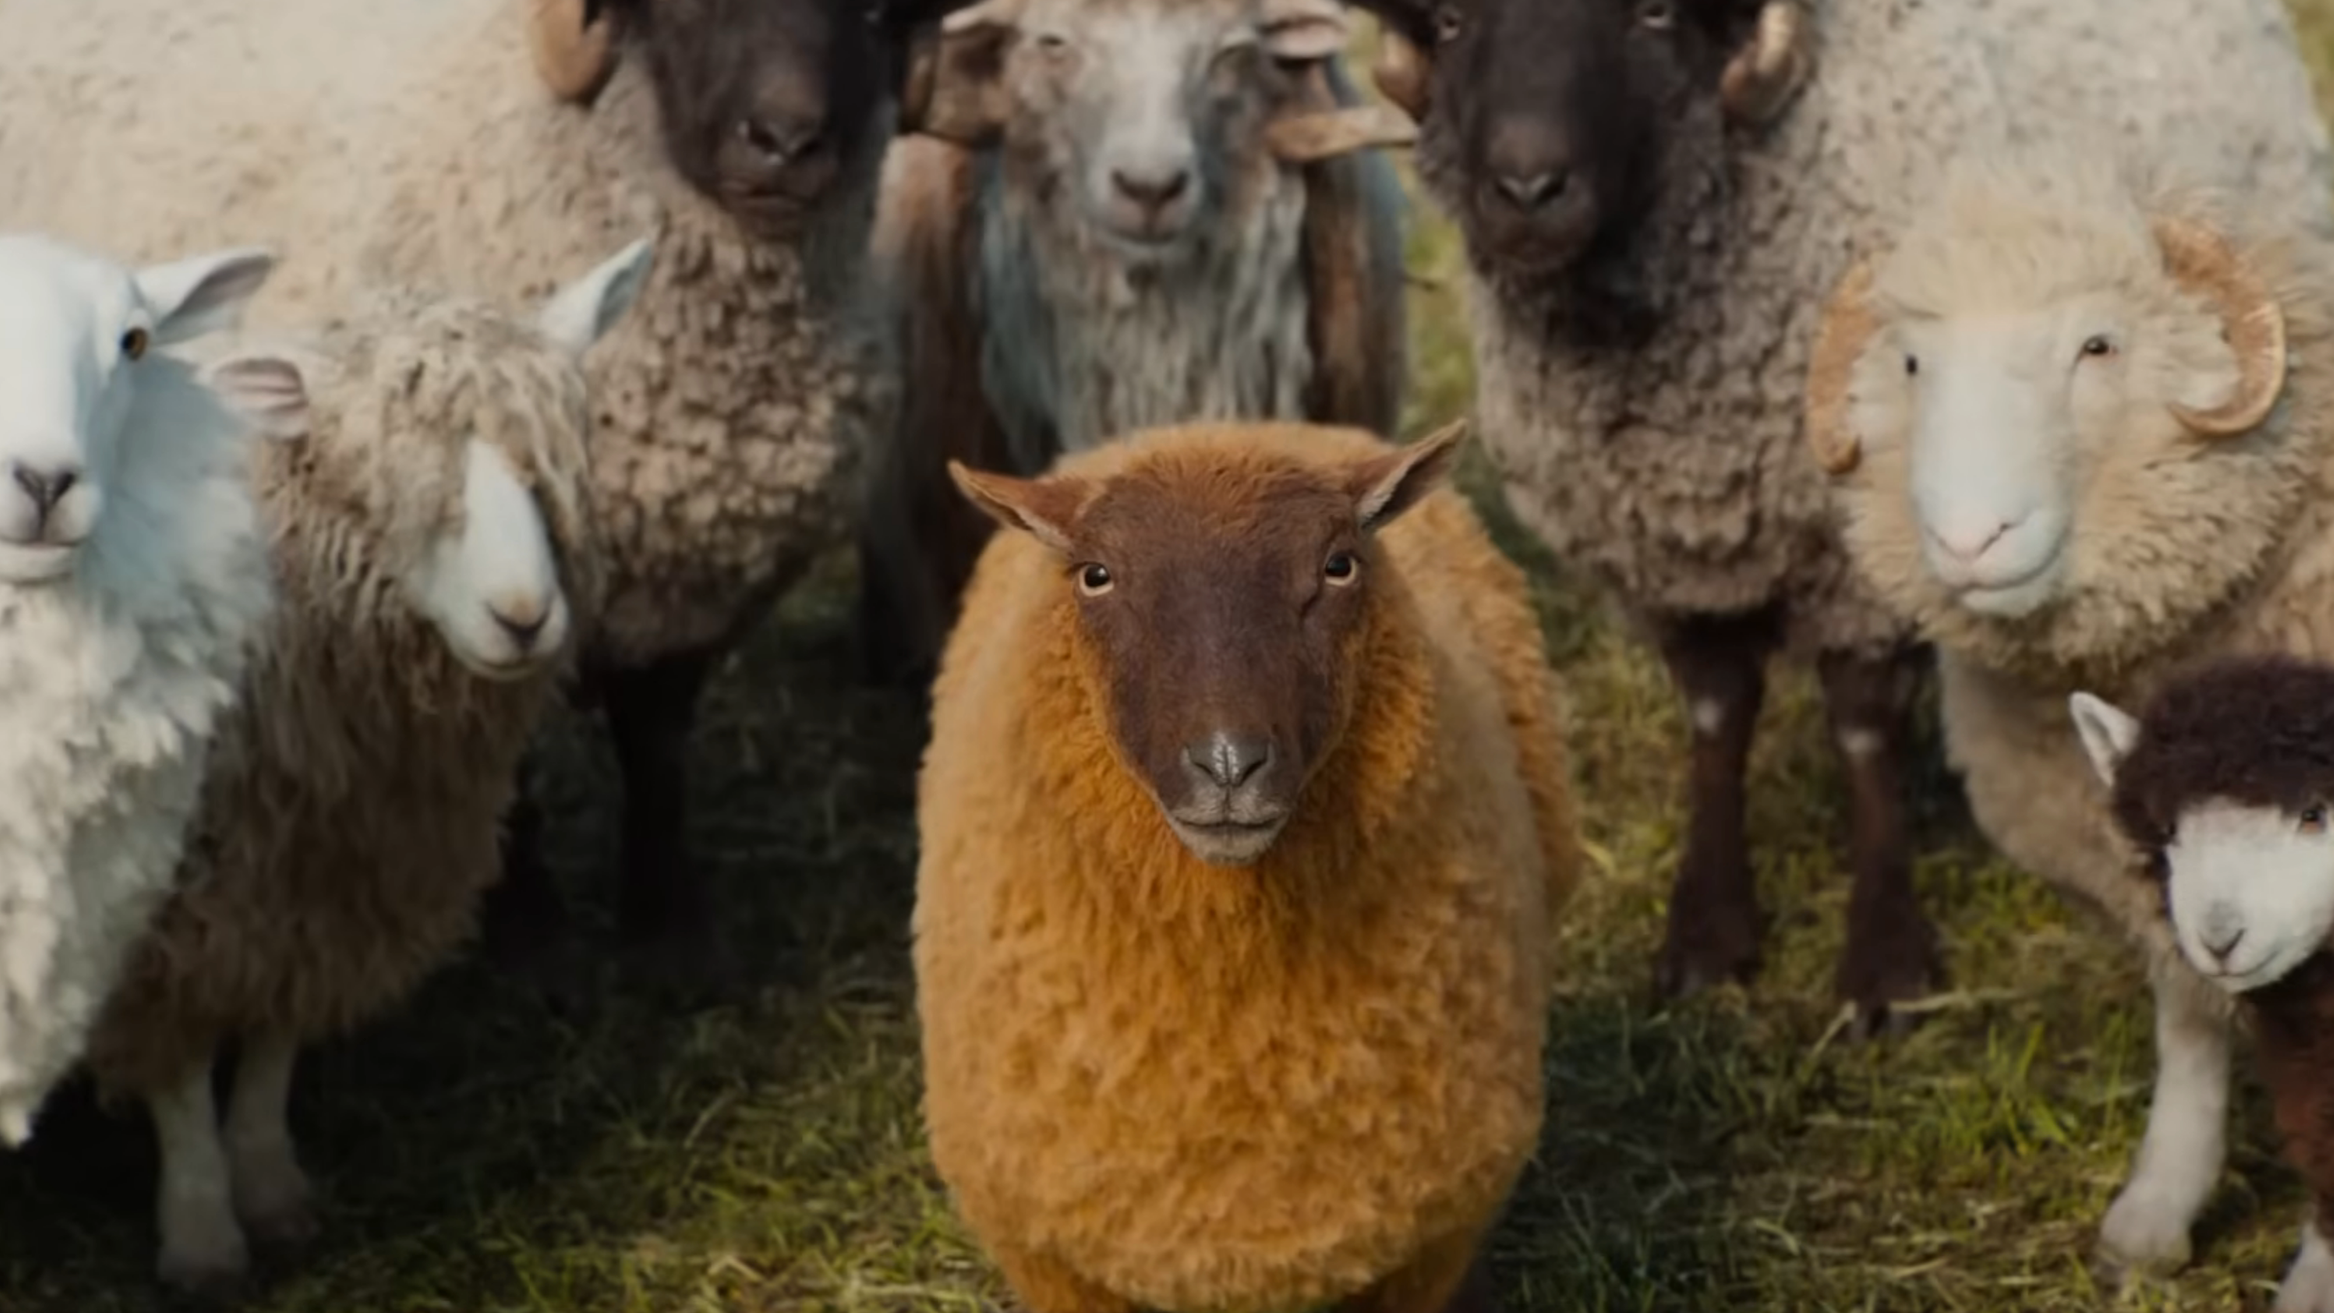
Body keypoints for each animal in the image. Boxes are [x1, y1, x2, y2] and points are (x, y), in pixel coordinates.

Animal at [0, 0, 960, 998]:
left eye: (878, 17)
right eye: (687, 11)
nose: (785, 142)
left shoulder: (690, 590)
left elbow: (657, 748)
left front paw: (671, 929)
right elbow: (518, 765)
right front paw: (525, 922)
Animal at [62, 239, 652, 1294]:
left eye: (549, 471)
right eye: (379, 476)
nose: (523, 616)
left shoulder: (328, 876)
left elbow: (274, 1044)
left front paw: (271, 1187)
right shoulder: (160, 909)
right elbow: (180, 1066)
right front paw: (203, 1234)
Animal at [913, 417, 1580, 1313]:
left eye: (1339, 565)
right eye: (1095, 575)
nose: (1228, 763)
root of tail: (1219, 423)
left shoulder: (1428, 1245)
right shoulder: (1054, 1259)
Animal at [1332, 0, 2334, 1047]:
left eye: (1653, 16)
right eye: (1452, 23)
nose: (1528, 189)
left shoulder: (1860, 563)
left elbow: (1861, 732)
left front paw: (1885, 964)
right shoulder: (1671, 561)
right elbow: (1716, 716)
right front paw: (1708, 935)